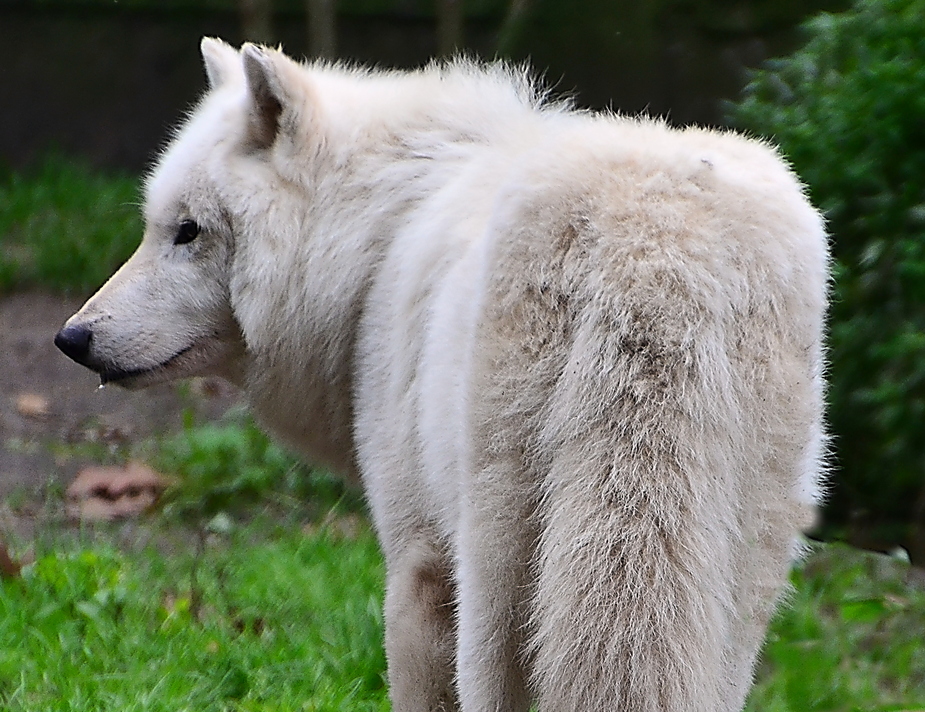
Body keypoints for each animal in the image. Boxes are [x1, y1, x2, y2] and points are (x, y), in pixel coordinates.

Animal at [54, 40, 828, 712]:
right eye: (157, 226)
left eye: (187, 231)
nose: (71, 338)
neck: (379, 235)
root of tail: (655, 253)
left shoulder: (417, 567)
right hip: (733, 585)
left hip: (494, 575)